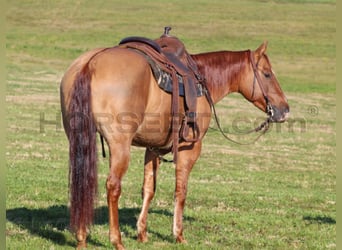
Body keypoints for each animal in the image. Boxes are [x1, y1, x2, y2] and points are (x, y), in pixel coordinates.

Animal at [59, 31, 288, 248]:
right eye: (267, 74)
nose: (284, 109)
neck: (202, 80)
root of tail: (90, 63)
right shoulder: (190, 149)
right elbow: (181, 190)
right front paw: (178, 234)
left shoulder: (153, 148)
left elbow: (148, 189)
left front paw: (142, 233)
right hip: (119, 146)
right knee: (113, 186)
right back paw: (116, 240)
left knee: (82, 181)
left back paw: (81, 238)